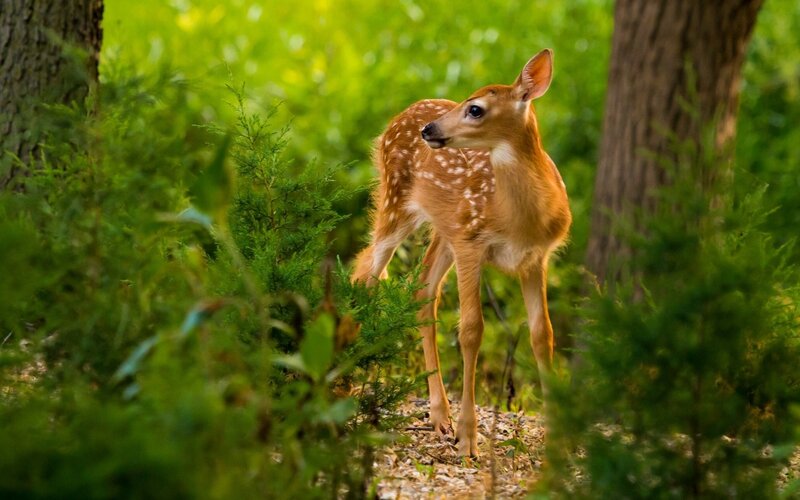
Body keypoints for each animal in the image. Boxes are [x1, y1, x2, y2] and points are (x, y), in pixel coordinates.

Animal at [352, 49, 571, 457]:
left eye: (475, 109)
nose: (429, 130)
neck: (519, 219)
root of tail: (402, 115)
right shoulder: (472, 243)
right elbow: (471, 330)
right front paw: (469, 438)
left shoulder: (536, 258)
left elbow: (542, 333)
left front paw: (556, 438)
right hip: (395, 202)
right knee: (367, 274)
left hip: (444, 229)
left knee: (422, 289)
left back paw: (440, 416)